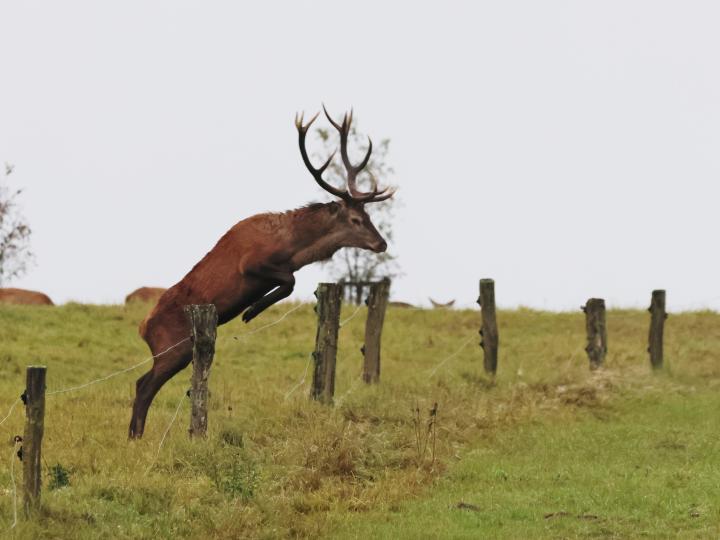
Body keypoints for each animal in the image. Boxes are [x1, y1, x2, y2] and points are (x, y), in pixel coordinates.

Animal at [132, 106, 396, 438]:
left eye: (369, 215)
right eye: (355, 219)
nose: (382, 243)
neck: (291, 247)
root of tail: (143, 327)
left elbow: (290, 280)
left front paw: (252, 309)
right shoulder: (251, 262)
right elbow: (290, 281)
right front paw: (251, 311)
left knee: (143, 383)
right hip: (173, 347)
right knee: (144, 385)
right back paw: (136, 437)